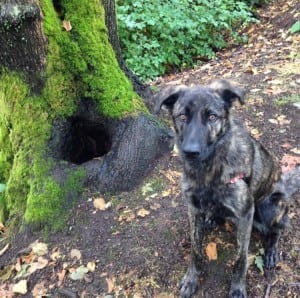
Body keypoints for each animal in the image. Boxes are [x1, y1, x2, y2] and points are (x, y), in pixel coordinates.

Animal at [155, 79, 300, 298]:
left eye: (212, 117)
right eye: (182, 117)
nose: (190, 152)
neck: (208, 172)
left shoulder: (246, 213)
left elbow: (241, 259)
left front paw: (238, 287)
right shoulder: (193, 209)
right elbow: (195, 250)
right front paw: (191, 278)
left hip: (270, 206)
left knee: (279, 228)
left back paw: (271, 250)